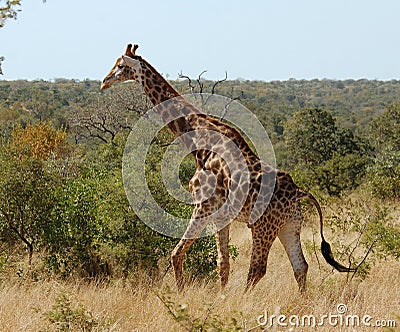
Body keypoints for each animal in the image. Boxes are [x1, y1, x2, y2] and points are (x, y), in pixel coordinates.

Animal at [101, 43, 356, 294]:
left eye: (121, 65)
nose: (104, 81)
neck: (197, 142)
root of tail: (299, 192)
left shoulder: (204, 205)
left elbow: (176, 253)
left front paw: (182, 294)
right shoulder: (222, 215)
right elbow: (222, 263)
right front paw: (220, 297)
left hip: (262, 226)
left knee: (258, 269)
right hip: (290, 224)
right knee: (300, 266)